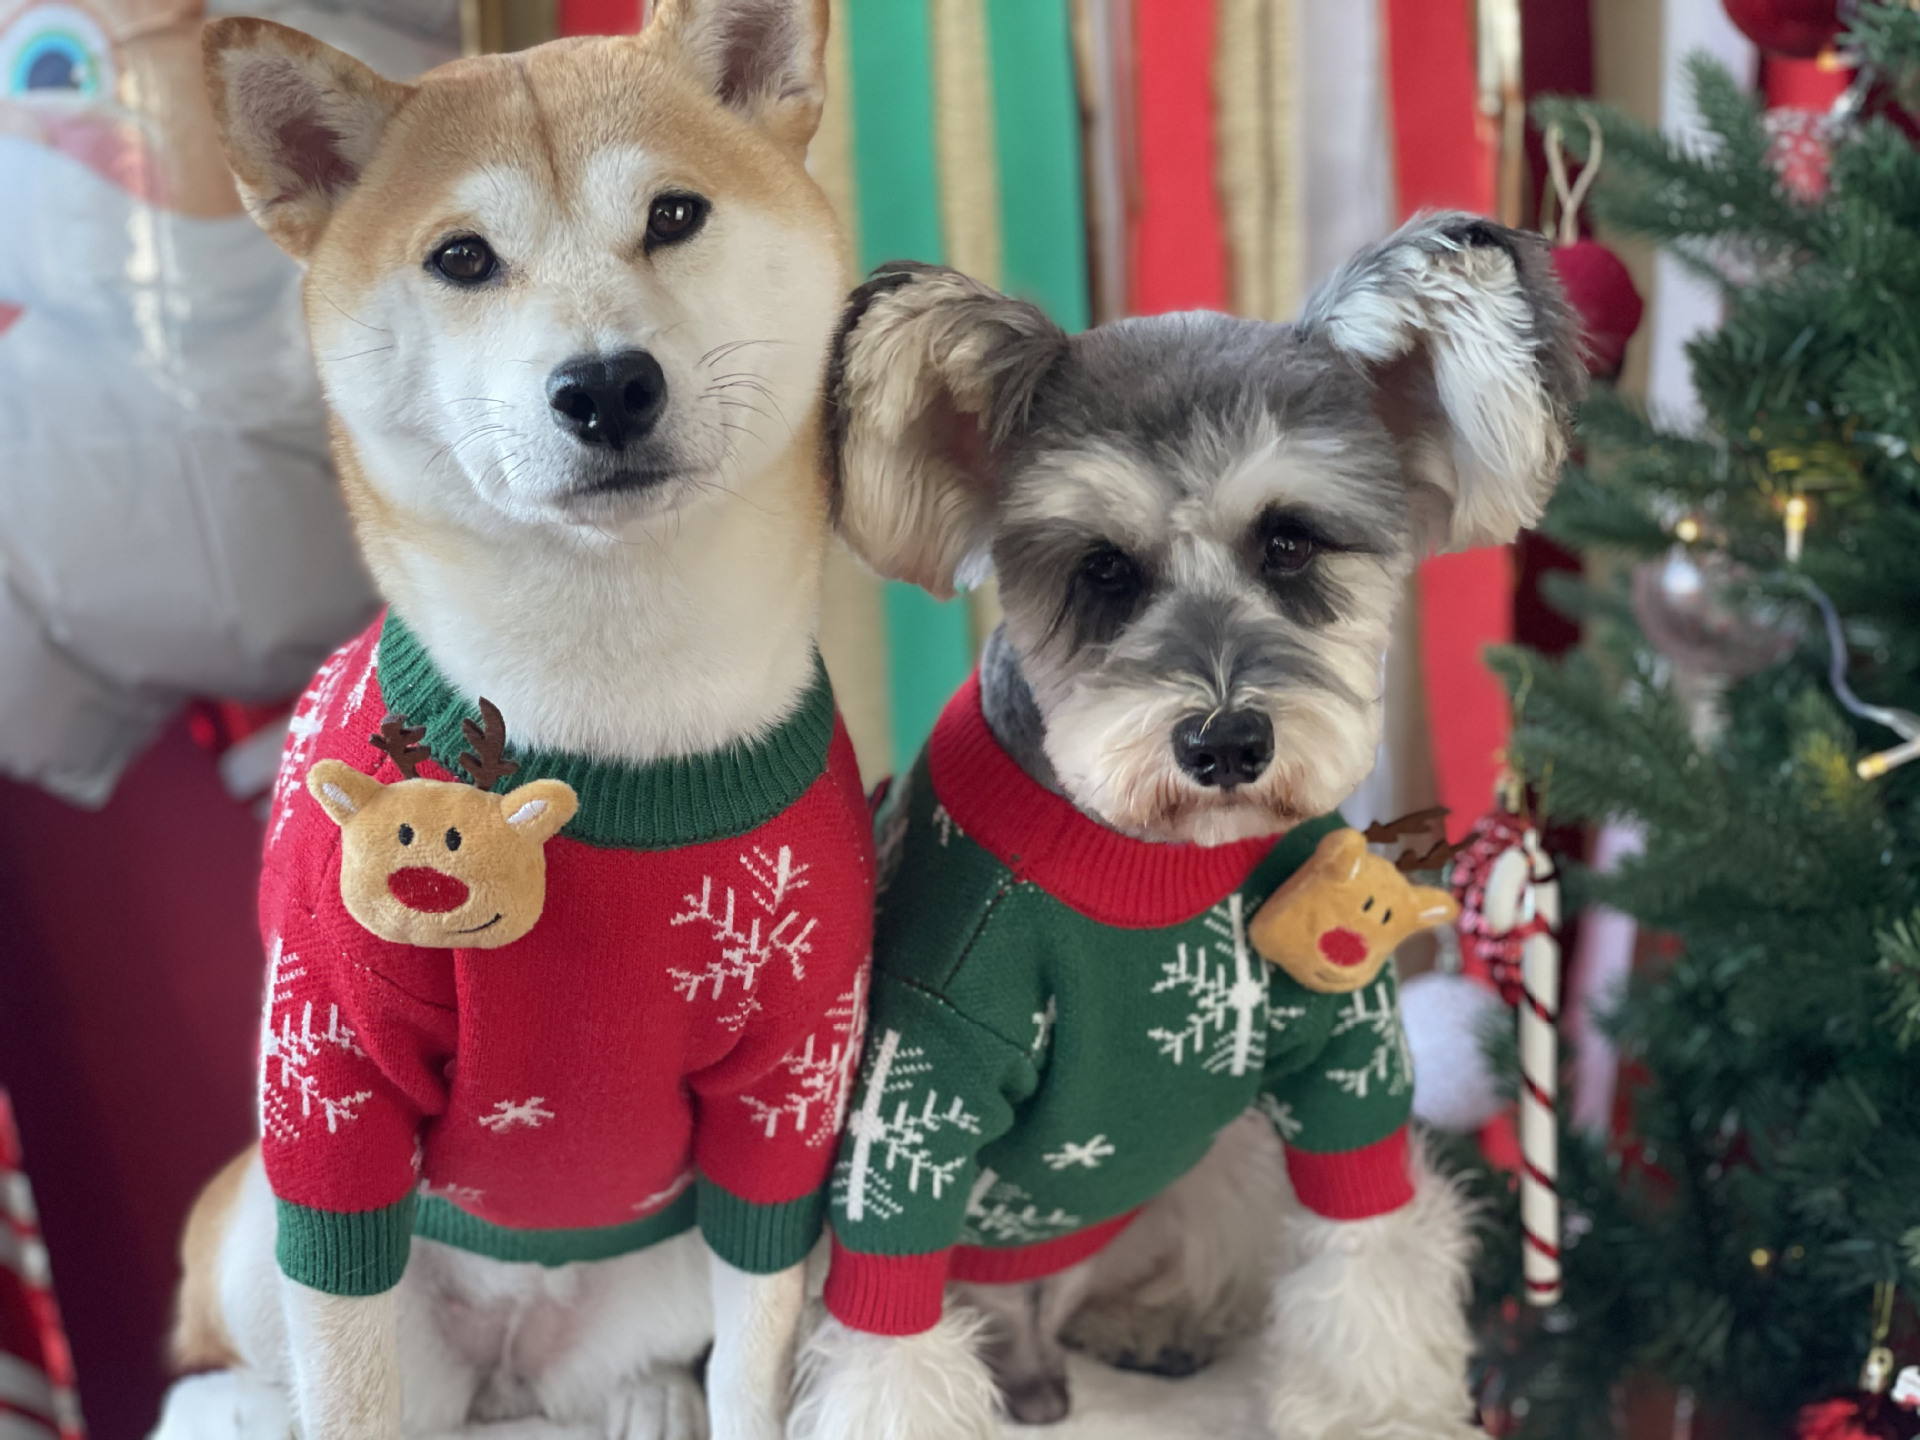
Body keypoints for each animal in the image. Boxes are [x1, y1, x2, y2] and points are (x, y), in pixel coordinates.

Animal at [163, 5, 871, 1436]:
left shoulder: (793, 1088)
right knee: (258, 1377)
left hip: (651, 1275)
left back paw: (647, 1402)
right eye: (462, 257)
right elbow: (348, 1388)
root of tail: (507, 1351)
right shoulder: (330, 1081)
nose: (605, 386)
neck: (610, 718)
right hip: (258, 1229)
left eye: (673, 214)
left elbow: (756, 1360)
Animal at [794, 216, 1589, 1440]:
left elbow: (1370, 1245)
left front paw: (1375, 1411)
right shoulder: (920, 1084)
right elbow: (888, 1336)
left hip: (1222, 1160)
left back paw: (1154, 1323)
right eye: (1102, 569)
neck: (1155, 866)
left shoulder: (1347, 1061)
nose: (1224, 745)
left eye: (1292, 543)